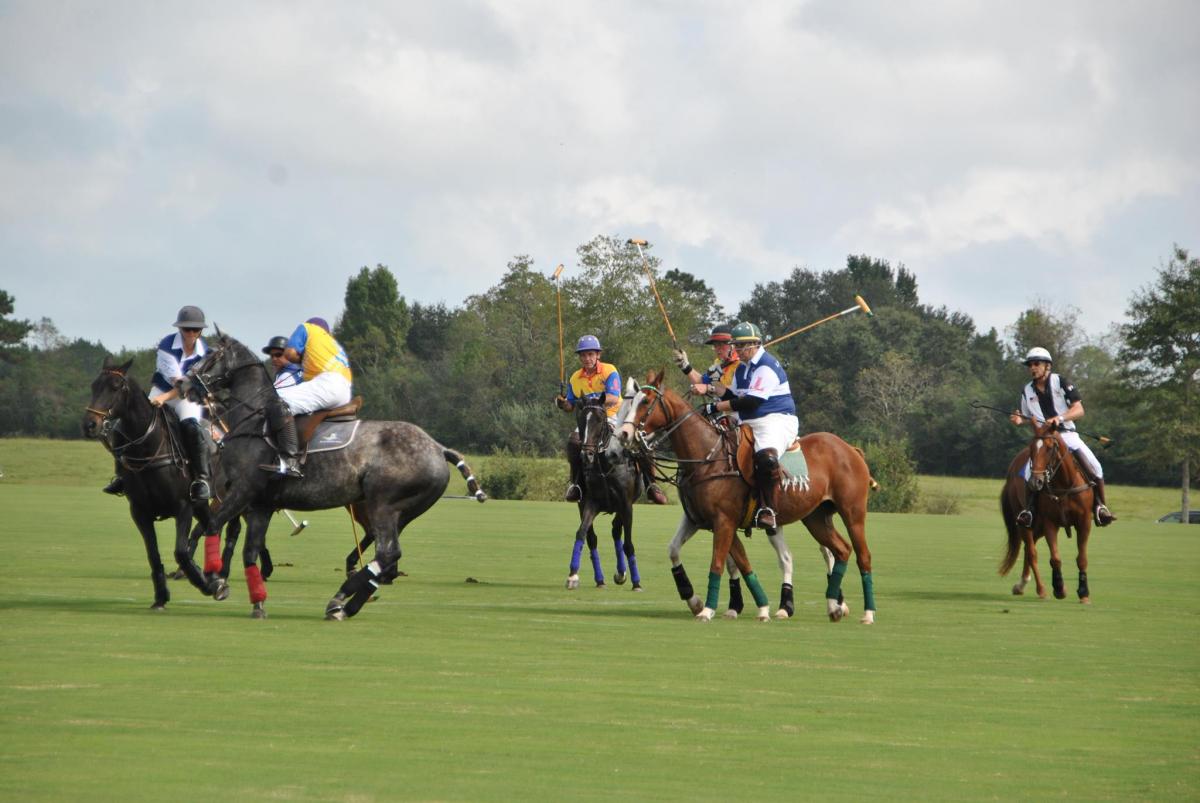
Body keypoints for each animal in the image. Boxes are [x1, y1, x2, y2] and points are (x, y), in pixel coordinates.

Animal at [82, 352, 234, 604]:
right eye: (94, 385)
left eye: (116, 387)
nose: (89, 425)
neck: (148, 448)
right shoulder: (139, 511)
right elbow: (153, 554)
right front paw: (161, 596)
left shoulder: (183, 507)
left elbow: (180, 551)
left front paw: (202, 582)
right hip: (202, 504)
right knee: (211, 527)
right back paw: (215, 576)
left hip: (216, 496)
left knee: (213, 527)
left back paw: (215, 580)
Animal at [182, 331, 482, 619]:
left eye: (210, 355)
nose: (185, 384)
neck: (252, 421)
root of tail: (438, 448)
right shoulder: (260, 504)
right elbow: (249, 551)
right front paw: (257, 602)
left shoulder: (242, 490)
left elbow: (210, 525)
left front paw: (212, 579)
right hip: (404, 511)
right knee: (387, 555)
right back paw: (349, 604)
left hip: (383, 503)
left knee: (387, 552)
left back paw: (340, 599)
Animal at [564, 398, 643, 588]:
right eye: (581, 420)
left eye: (600, 420)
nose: (587, 455)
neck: (604, 464)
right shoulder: (589, 503)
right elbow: (583, 534)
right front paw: (573, 575)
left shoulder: (626, 504)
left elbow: (628, 544)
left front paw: (636, 582)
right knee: (605, 533)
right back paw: (606, 577)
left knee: (617, 531)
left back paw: (622, 573)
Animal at [624, 372, 878, 624]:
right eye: (632, 400)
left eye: (645, 402)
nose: (624, 435)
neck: (707, 457)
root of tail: (851, 449)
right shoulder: (702, 520)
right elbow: (697, 554)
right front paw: (707, 602)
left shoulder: (724, 521)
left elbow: (718, 563)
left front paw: (707, 610)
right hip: (816, 517)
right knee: (841, 550)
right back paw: (834, 606)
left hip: (853, 513)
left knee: (862, 555)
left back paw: (867, 613)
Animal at [998, 420, 1094, 600]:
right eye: (1031, 448)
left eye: (1050, 448)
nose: (1035, 482)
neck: (1064, 485)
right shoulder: (1050, 522)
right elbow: (1055, 558)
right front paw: (1059, 588)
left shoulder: (1084, 521)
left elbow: (1082, 558)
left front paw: (1084, 592)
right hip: (1025, 522)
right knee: (1031, 551)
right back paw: (1040, 589)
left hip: (1038, 525)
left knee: (1029, 549)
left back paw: (1022, 584)